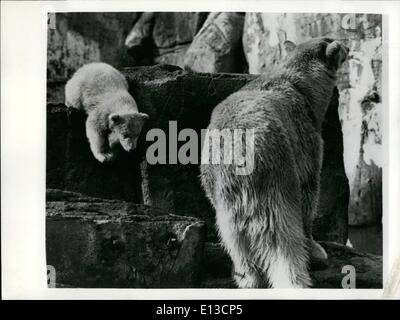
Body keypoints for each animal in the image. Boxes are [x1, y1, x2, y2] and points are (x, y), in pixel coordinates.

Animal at [202, 37, 348, 288]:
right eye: (334, 42)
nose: (348, 47)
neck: (297, 84)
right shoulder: (304, 139)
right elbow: (309, 191)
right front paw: (316, 248)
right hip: (276, 172)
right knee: (281, 234)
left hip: (219, 190)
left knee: (235, 238)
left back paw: (247, 277)